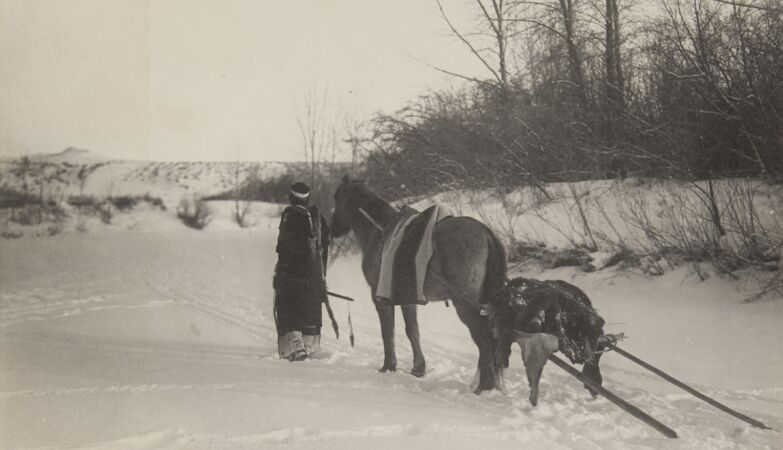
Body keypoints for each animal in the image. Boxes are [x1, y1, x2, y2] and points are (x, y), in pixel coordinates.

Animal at [330, 176, 508, 394]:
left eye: (337, 197)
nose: (332, 226)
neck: (380, 230)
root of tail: (485, 233)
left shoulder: (379, 297)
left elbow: (387, 331)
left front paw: (388, 366)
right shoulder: (408, 297)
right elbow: (412, 331)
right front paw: (418, 368)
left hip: (465, 305)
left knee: (483, 338)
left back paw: (485, 385)